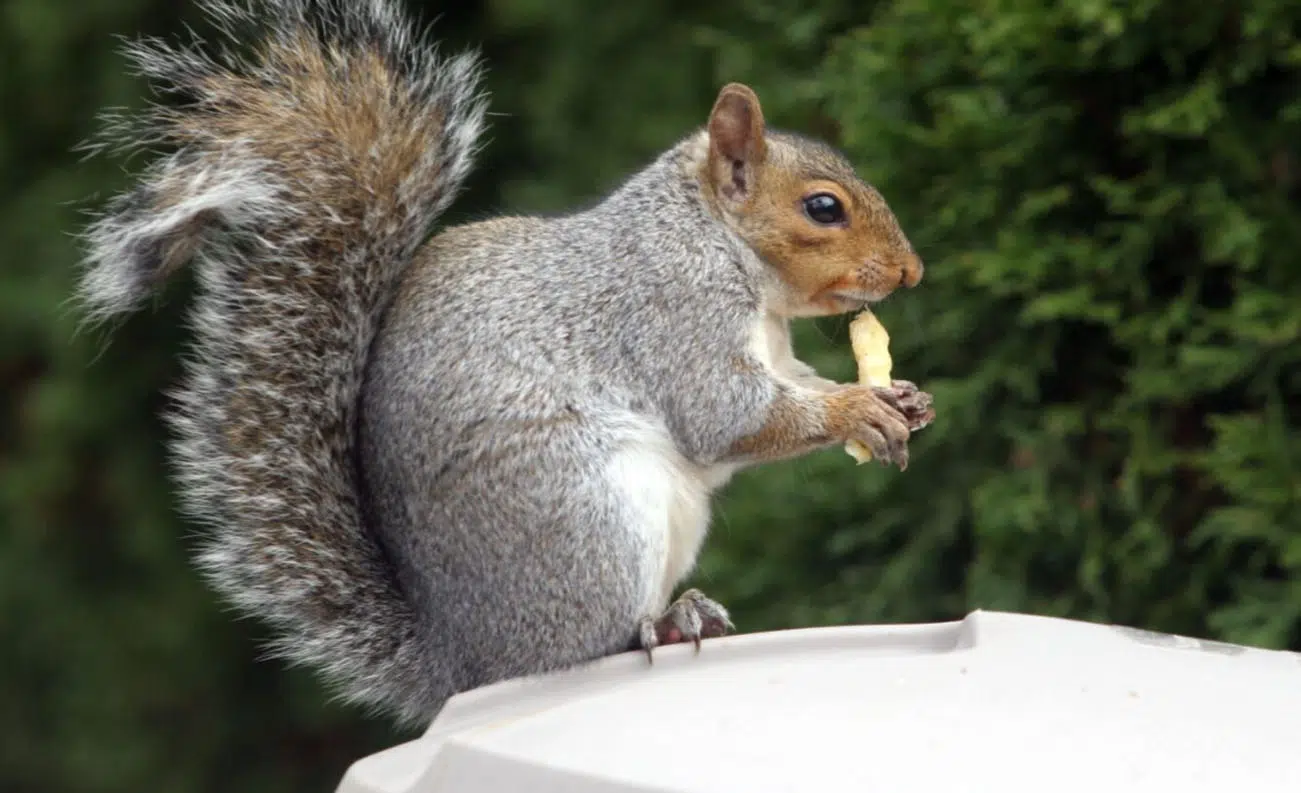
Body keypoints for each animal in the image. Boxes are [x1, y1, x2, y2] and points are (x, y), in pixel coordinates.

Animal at [78, 0, 935, 726]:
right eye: (822, 207)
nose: (911, 272)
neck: (715, 239)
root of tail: (464, 659)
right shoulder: (672, 310)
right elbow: (725, 415)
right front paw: (856, 409)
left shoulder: (773, 348)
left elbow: (792, 388)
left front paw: (902, 397)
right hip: (588, 516)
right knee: (587, 644)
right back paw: (660, 620)